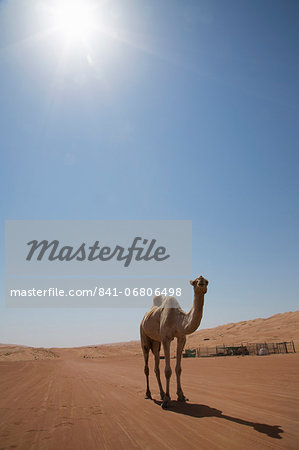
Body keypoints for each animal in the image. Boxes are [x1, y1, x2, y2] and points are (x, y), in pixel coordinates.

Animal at [140, 274, 209, 408]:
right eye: (195, 282)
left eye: (207, 281)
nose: (202, 283)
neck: (178, 319)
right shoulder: (166, 338)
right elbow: (168, 370)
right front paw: (167, 400)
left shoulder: (181, 338)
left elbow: (178, 369)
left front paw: (181, 396)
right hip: (143, 336)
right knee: (146, 366)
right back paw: (148, 394)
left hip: (156, 342)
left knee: (156, 366)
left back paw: (161, 393)